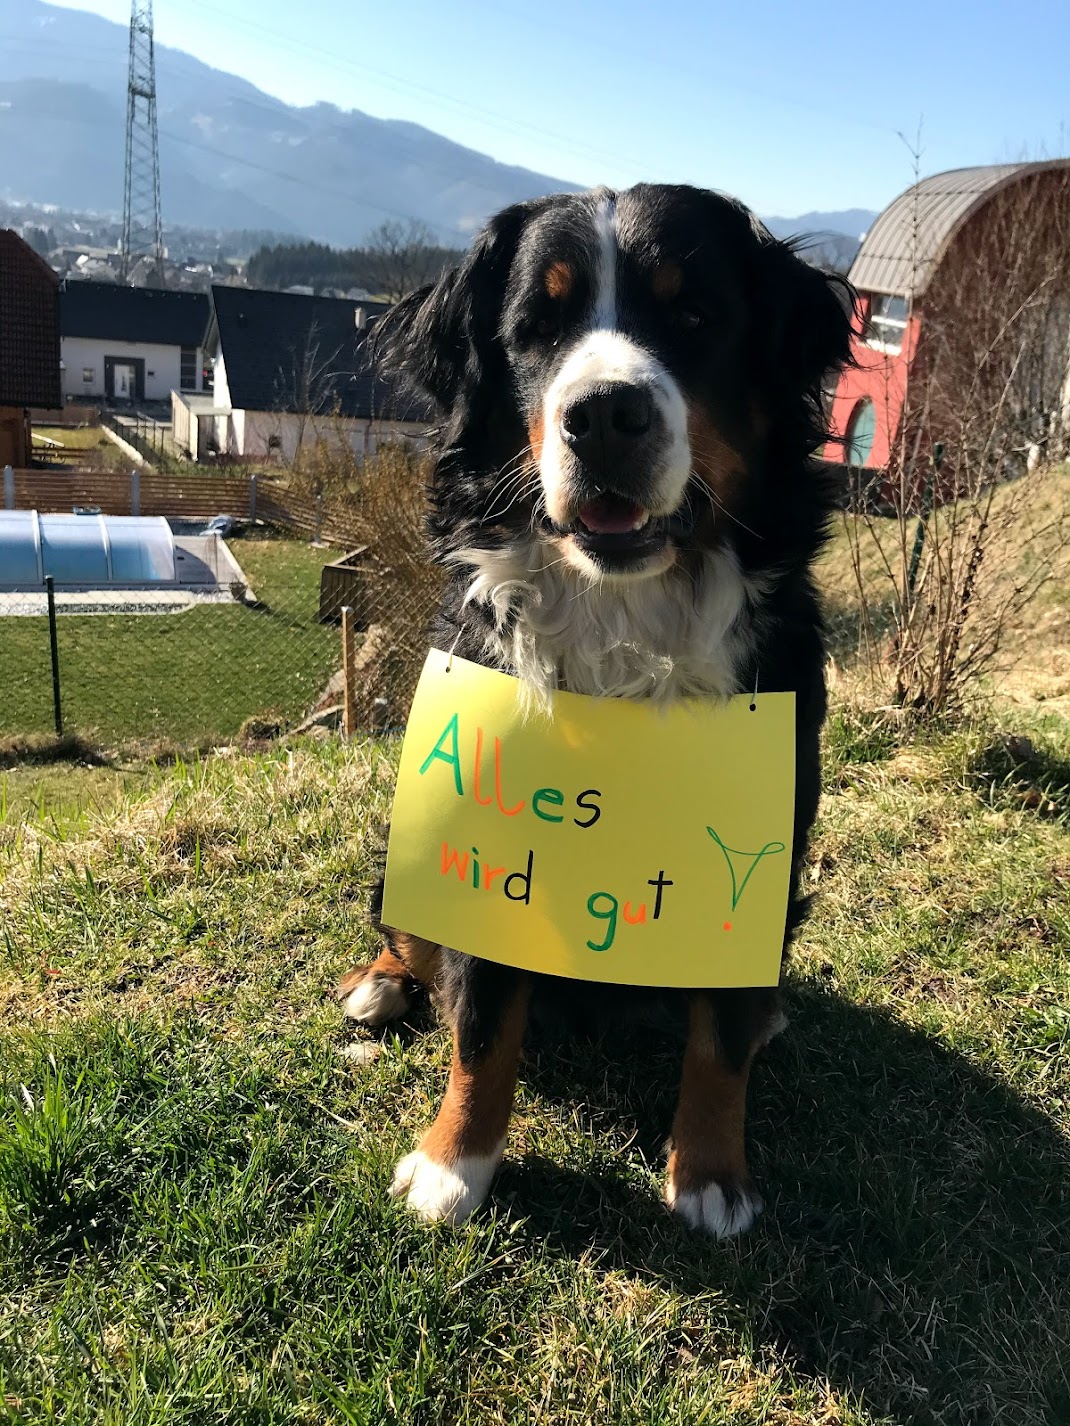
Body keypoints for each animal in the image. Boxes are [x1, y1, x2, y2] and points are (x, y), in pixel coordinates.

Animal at [337, 183, 854, 1238]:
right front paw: (454, 1164)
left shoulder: (762, 855)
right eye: (538, 327)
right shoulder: (489, 850)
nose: (606, 415)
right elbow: (481, 1026)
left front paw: (711, 1175)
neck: (624, 619)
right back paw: (378, 984)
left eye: (694, 316)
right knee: (408, 938)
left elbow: (719, 1041)